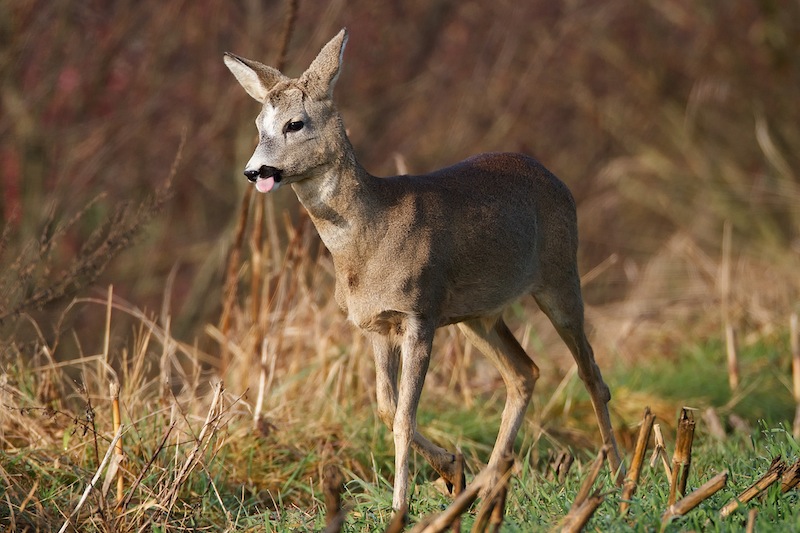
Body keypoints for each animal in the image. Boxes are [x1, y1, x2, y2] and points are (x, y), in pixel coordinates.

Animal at [225, 30, 624, 512]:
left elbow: (403, 416)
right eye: (258, 126)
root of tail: (554, 177)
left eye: (295, 124)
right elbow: (385, 408)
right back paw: (480, 487)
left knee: (592, 374)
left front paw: (401, 505)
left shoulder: (419, 313)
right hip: (479, 314)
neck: (370, 235)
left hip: (561, 275)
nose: (254, 171)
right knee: (524, 373)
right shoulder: (376, 324)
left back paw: (620, 478)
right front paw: (450, 468)